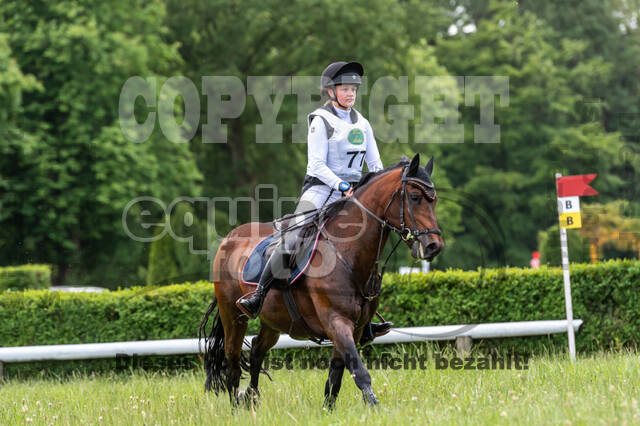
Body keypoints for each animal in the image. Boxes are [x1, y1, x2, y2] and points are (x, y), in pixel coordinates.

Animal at [199, 153, 443, 408]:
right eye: (415, 197)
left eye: (434, 200)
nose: (433, 246)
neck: (348, 252)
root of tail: (229, 238)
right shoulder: (336, 321)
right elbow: (359, 371)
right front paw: (375, 407)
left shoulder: (355, 328)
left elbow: (336, 375)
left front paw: (328, 409)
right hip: (232, 315)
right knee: (232, 361)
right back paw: (237, 405)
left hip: (273, 320)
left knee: (257, 349)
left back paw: (251, 397)